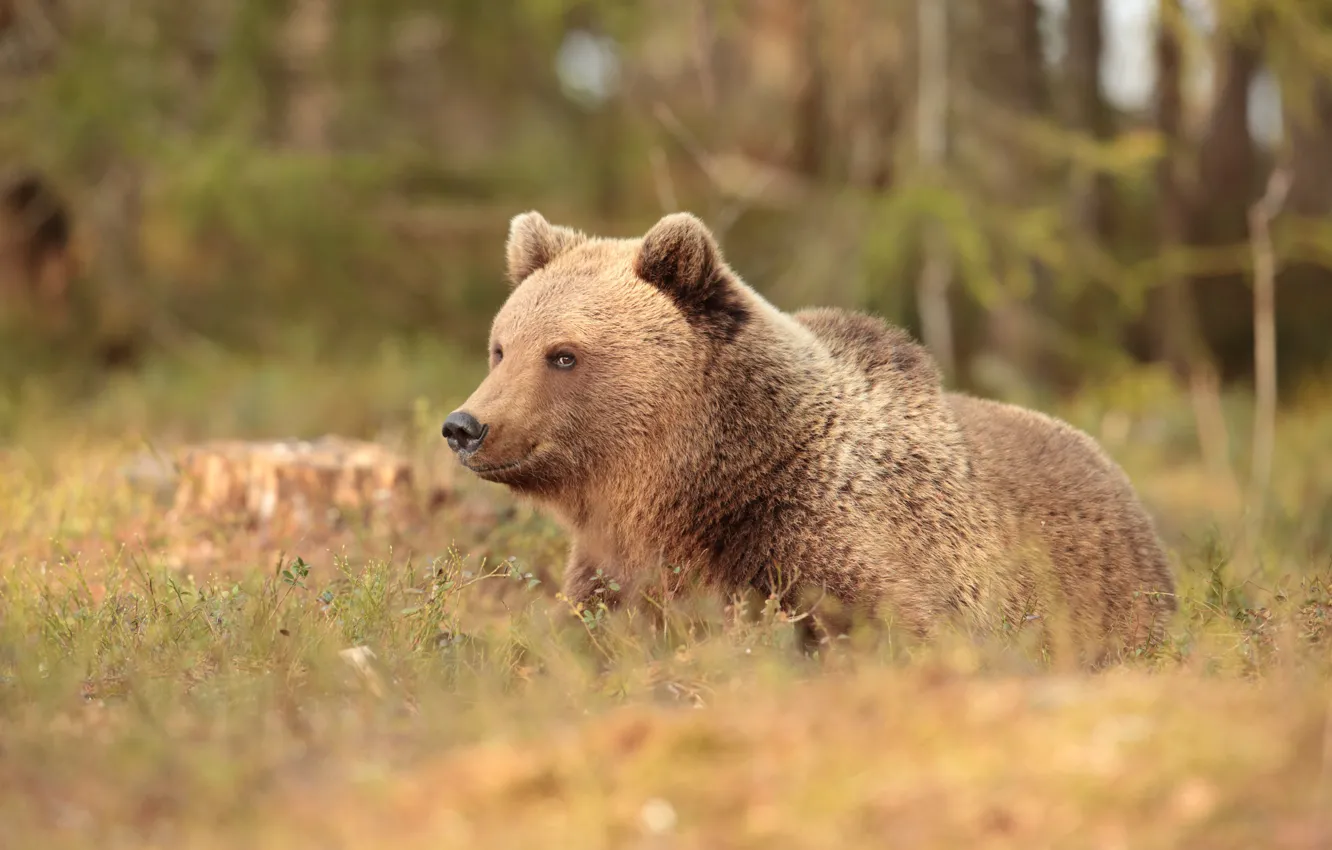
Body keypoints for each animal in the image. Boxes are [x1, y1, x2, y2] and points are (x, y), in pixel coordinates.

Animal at [441, 210, 1177, 666]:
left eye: (563, 355)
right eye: (501, 347)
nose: (464, 426)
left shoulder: (817, 535)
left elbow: (884, 622)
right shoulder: (612, 565)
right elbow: (584, 631)